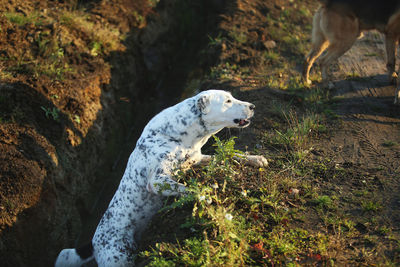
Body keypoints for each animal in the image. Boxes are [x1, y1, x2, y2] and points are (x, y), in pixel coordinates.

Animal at [54, 90, 268, 267]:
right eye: (228, 101)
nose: (253, 106)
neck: (180, 135)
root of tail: (94, 241)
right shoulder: (157, 181)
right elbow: (186, 188)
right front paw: (205, 195)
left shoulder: (197, 158)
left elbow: (231, 156)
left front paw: (255, 159)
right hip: (120, 255)